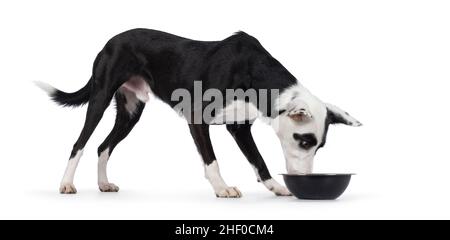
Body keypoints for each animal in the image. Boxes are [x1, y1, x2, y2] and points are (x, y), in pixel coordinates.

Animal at [37, 28, 362, 197]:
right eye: (303, 140)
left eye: (319, 146)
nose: (306, 178)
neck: (253, 72)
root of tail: (111, 40)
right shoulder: (197, 118)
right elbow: (212, 161)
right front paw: (222, 188)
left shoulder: (240, 127)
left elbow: (258, 160)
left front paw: (276, 187)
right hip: (101, 98)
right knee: (79, 144)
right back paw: (66, 183)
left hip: (131, 112)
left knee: (103, 146)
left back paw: (103, 183)